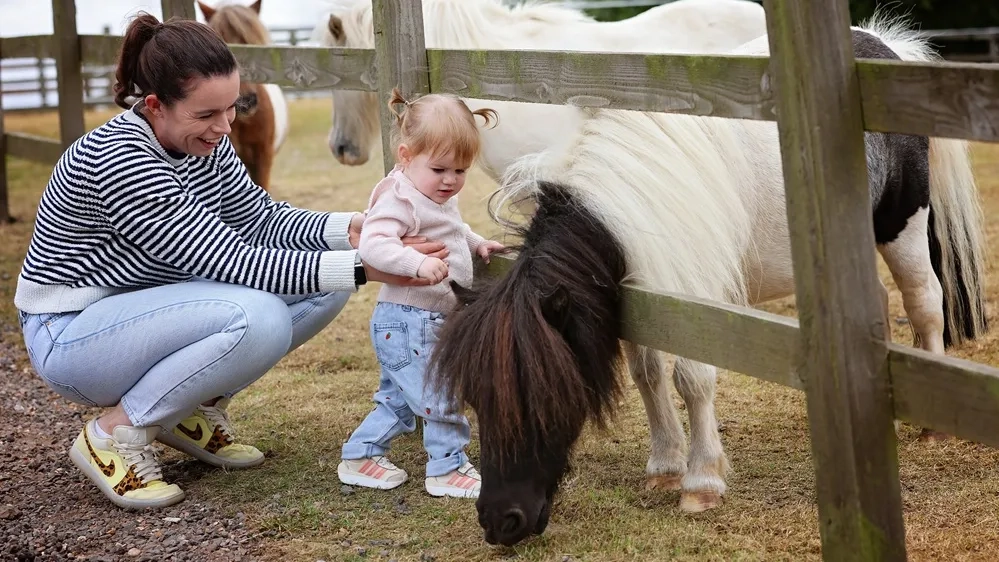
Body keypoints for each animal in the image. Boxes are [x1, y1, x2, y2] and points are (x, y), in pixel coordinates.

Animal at [428, 16, 989, 547]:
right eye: (475, 398)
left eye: (542, 397)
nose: (500, 521)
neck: (628, 199)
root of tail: (883, 45)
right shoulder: (640, 296)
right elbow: (648, 373)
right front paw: (664, 466)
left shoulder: (694, 296)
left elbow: (692, 379)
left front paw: (701, 482)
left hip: (903, 226)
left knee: (924, 301)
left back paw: (932, 423)